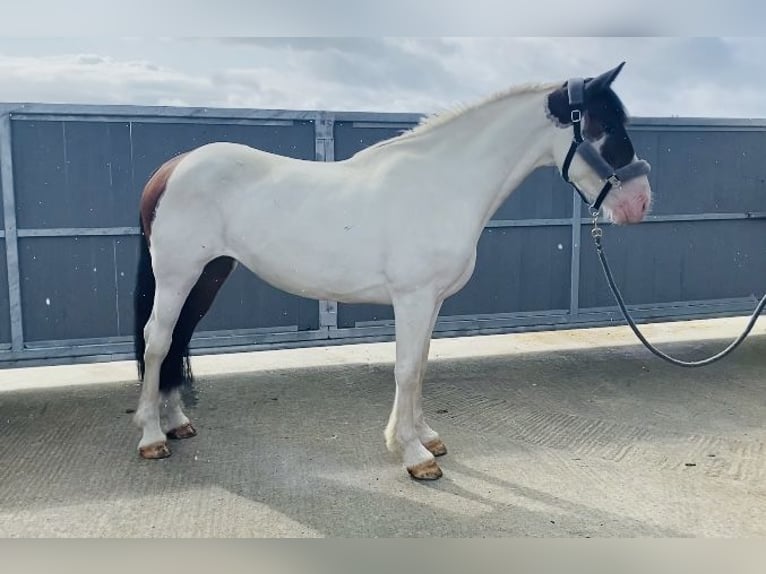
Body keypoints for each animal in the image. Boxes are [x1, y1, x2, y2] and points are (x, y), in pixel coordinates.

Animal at [132, 63, 656, 482]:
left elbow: (421, 364)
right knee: (158, 340)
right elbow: (405, 368)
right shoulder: (413, 297)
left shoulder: (433, 301)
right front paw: (413, 454)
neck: (442, 184)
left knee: (180, 338)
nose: (641, 203)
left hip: (208, 275)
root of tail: (173, 167)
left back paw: (176, 423)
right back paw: (152, 437)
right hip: (177, 276)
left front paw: (427, 436)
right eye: (605, 125)